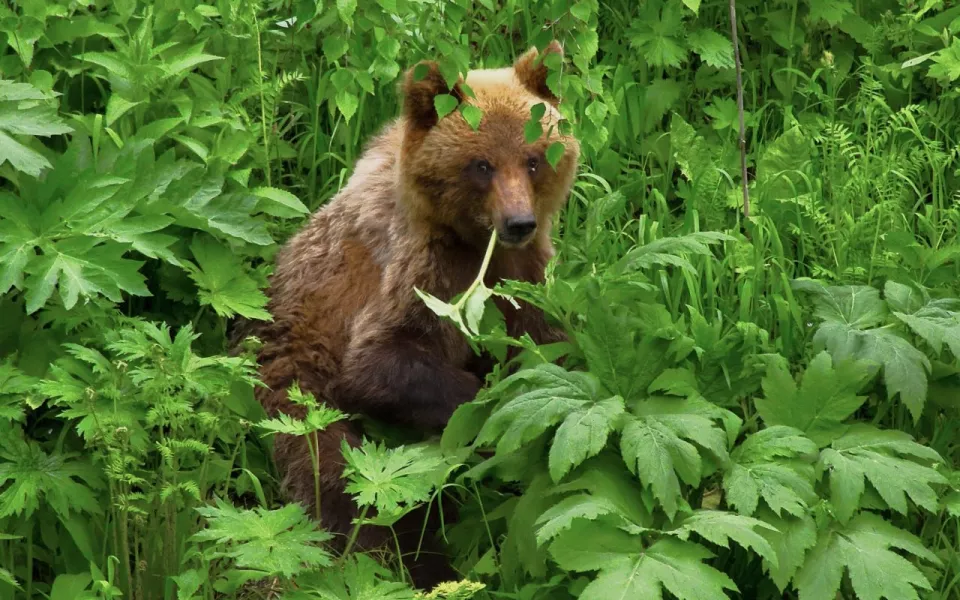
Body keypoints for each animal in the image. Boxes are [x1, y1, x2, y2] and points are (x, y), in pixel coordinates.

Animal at [244, 41, 580, 584]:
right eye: (481, 164)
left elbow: (547, 342)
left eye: (533, 159)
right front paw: (489, 404)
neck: (473, 241)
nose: (518, 222)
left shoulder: (524, 274)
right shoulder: (421, 270)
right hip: (299, 391)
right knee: (344, 485)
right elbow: (383, 359)